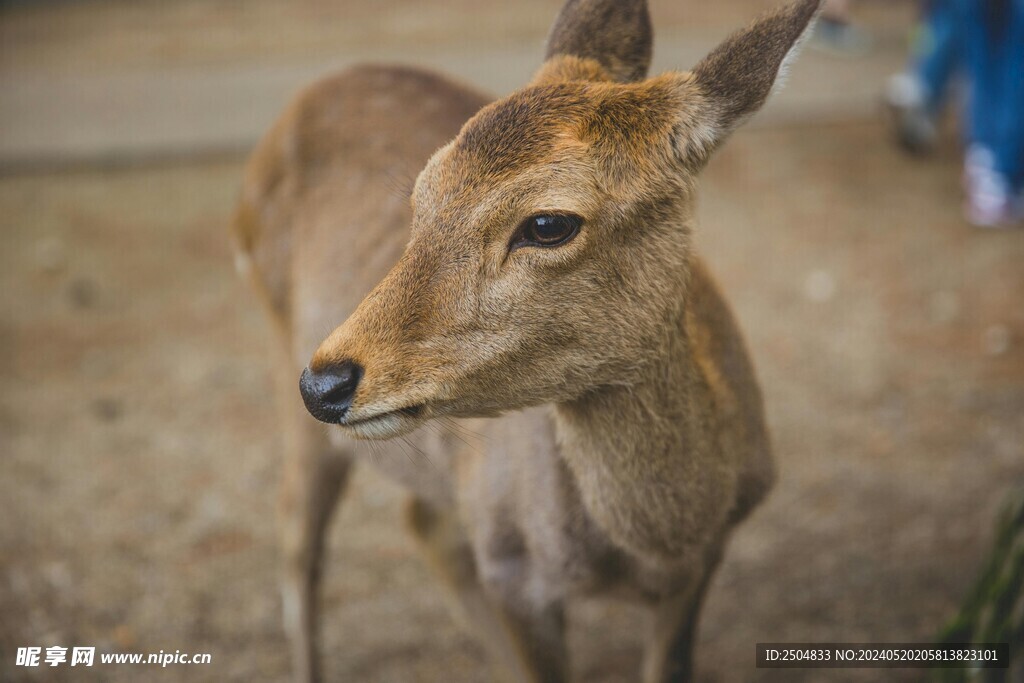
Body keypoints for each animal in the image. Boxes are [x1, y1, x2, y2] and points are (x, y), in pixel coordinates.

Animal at [231, 0, 820, 680]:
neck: (665, 539)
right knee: (297, 534)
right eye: (421, 196)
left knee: (419, 519)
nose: (327, 381)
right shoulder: (512, 569)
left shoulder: (706, 561)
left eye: (547, 223)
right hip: (285, 364)